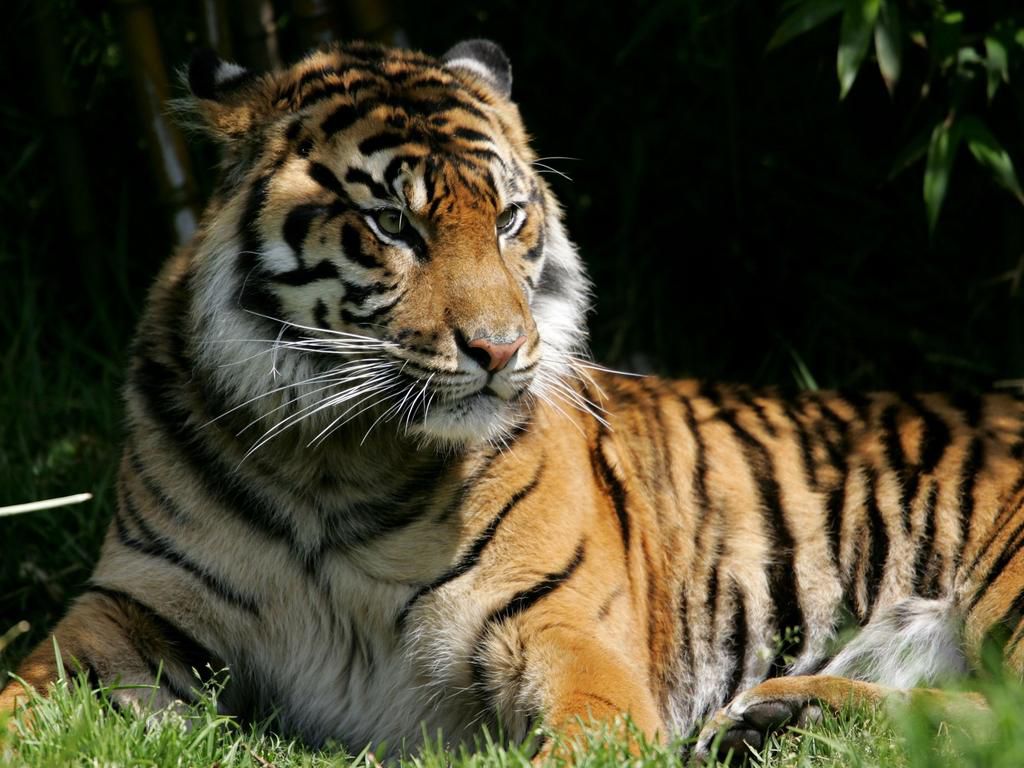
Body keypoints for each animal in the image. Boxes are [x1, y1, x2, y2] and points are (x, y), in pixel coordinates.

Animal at [4, 37, 1024, 764]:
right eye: (392, 223)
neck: (334, 466)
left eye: (507, 218)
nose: (500, 350)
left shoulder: (566, 632)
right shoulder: (127, 611)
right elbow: (22, 696)